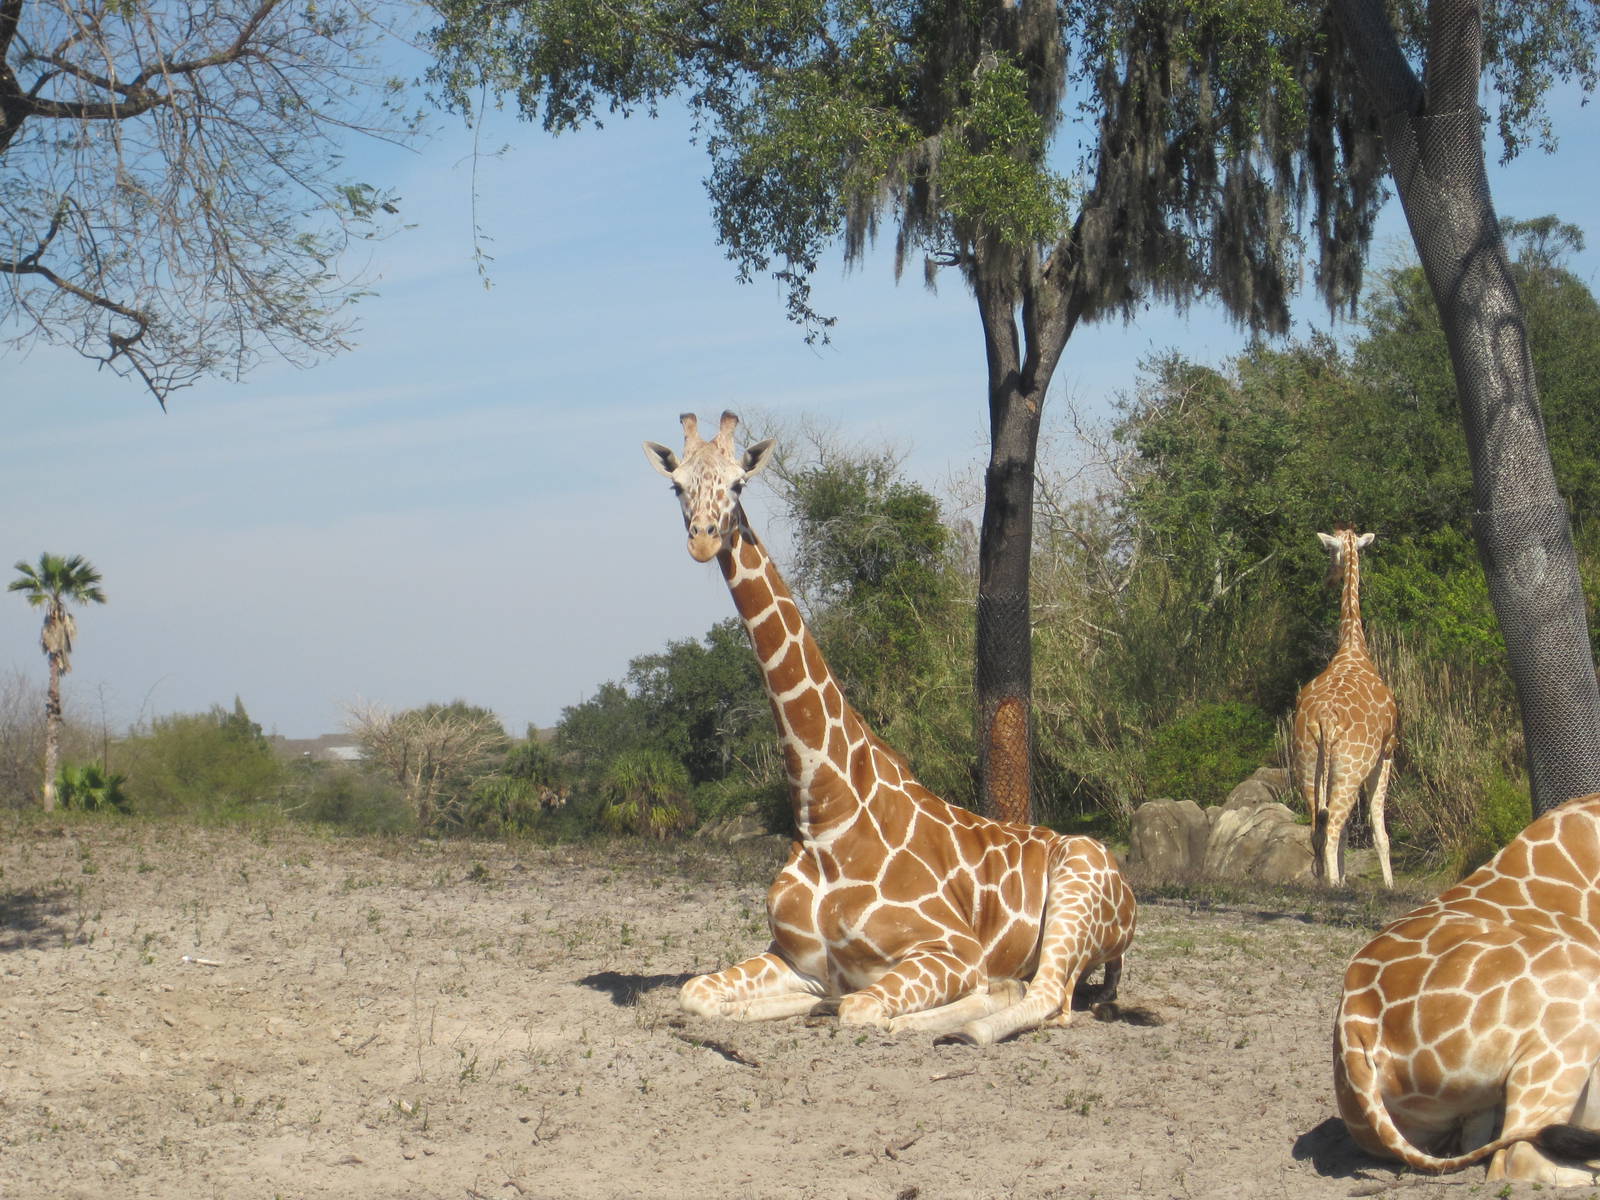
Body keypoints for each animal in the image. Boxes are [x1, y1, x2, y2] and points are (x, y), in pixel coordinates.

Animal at [644, 411, 1137, 1044]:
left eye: (738, 483)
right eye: (677, 486)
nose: (704, 539)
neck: (825, 813)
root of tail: (1129, 895)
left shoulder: (953, 950)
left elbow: (862, 1008)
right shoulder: (795, 959)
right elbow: (697, 994)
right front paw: (771, 1007)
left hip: (1078, 883)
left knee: (1048, 995)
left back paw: (977, 1016)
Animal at [1291, 525, 1399, 887]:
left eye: (1330, 553)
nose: (1328, 579)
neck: (1353, 646)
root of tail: (1325, 718)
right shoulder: (1386, 753)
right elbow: (1380, 831)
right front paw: (1389, 885)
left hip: (1307, 762)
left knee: (1318, 824)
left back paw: (1327, 883)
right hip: (1350, 769)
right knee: (1335, 824)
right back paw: (1335, 885)